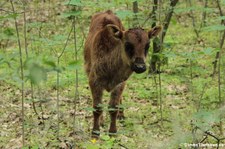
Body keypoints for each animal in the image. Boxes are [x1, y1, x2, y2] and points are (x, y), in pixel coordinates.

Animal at [83, 9, 161, 137]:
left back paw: (121, 115)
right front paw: (95, 131)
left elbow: (113, 107)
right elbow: (97, 107)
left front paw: (113, 132)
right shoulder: (94, 81)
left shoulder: (120, 83)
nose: (140, 67)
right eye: (127, 44)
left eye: (147, 46)